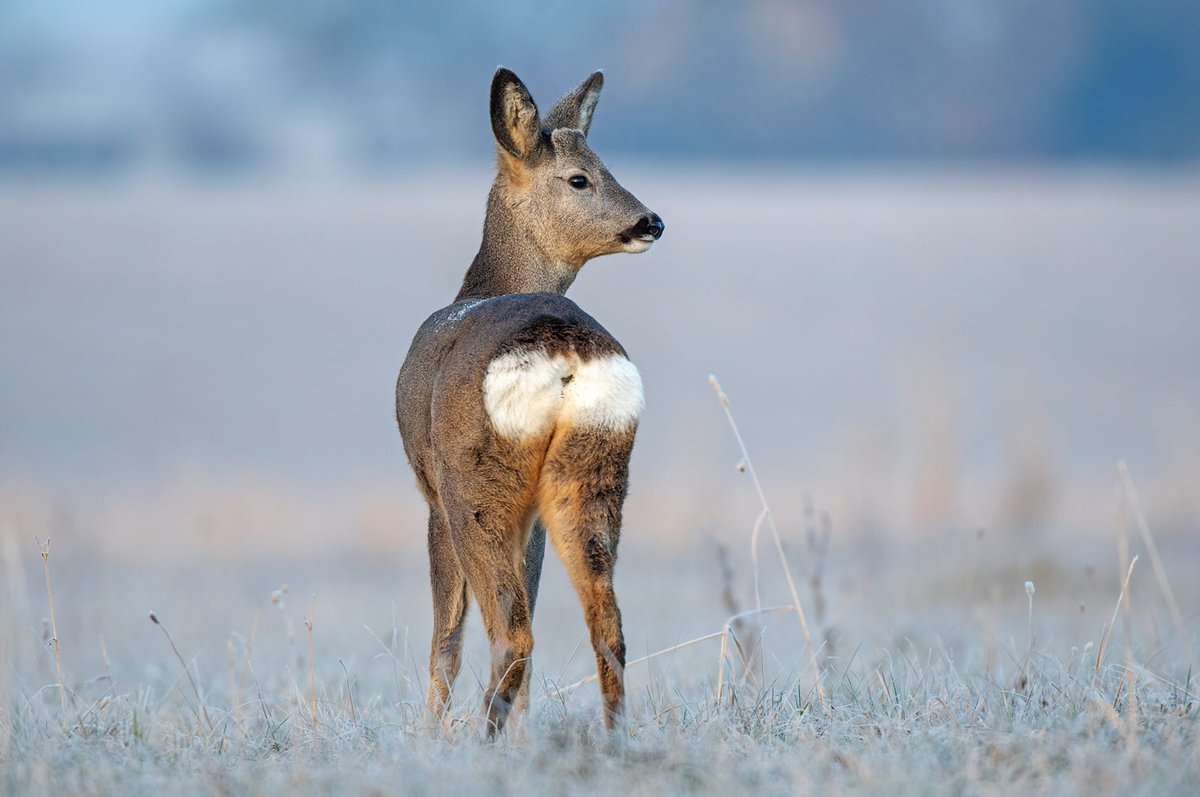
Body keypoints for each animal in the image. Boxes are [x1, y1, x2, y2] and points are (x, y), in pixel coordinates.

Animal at [395, 68, 664, 735]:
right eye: (582, 176)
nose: (652, 221)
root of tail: (563, 351)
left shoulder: (431, 492)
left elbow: (445, 638)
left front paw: (428, 734)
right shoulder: (534, 516)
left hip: (475, 484)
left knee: (509, 633)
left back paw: (481, 739)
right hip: (591, 473)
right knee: (606, 626)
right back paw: (610, 736)